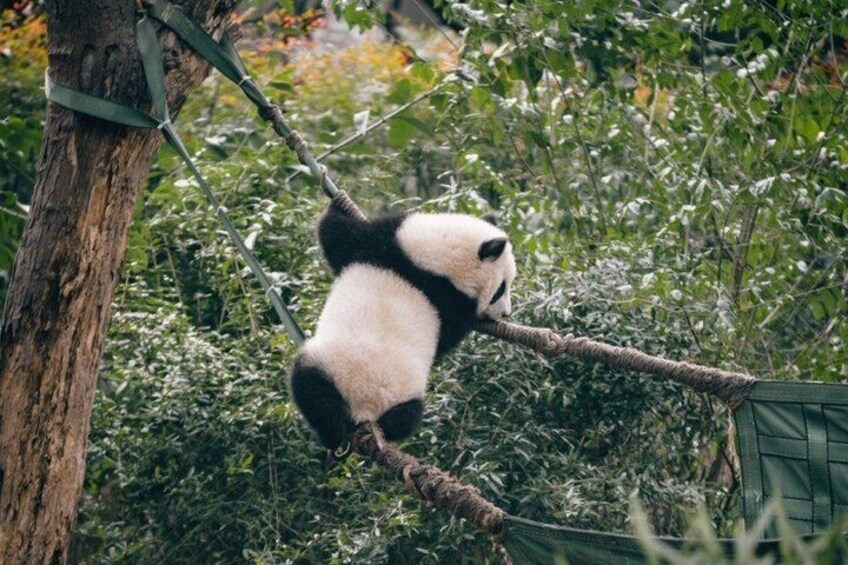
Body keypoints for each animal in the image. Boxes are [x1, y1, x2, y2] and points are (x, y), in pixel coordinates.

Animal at [289, 200, 516, 452]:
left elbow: (336, 238)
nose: (506, 313)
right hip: (329, 366)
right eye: (500, 290)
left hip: (392, 391)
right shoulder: (389, 245)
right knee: (313, 391)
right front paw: (336, 200)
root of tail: (364, 407)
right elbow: (337, 236)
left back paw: (336, 437)